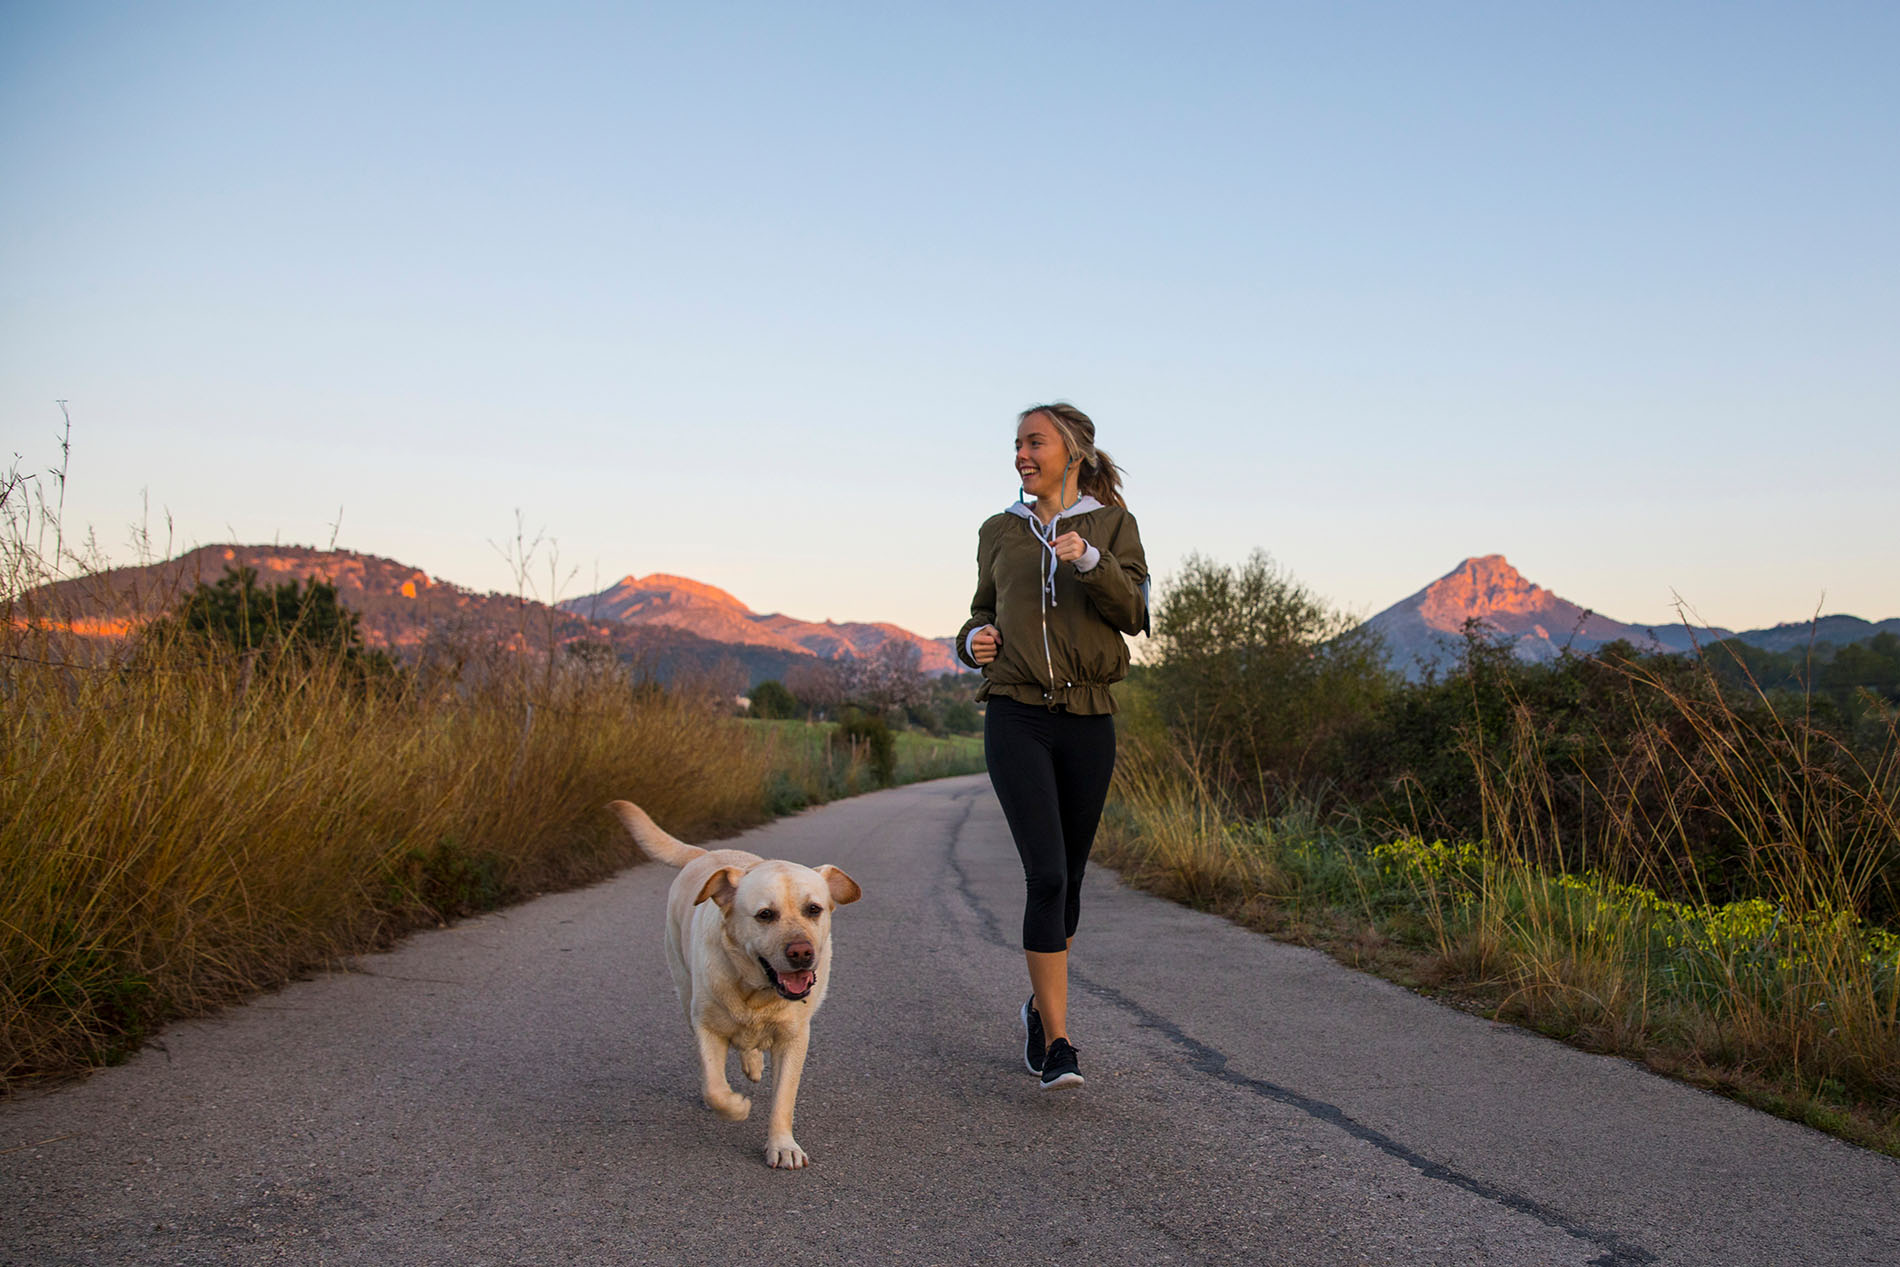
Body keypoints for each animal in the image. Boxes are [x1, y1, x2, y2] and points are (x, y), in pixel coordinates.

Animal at [608, 801, 862, 1170]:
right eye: (765, 915)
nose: (802, 952)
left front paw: (783, 1146)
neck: (755, 991)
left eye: (813, 909)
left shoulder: (794, 1037)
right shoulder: (706, 1025)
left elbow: (783, 1098)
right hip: (683, 988)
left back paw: (753, 1063)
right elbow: (715, 1088)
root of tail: (707, 854)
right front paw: (736, 1106)